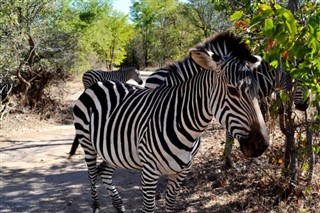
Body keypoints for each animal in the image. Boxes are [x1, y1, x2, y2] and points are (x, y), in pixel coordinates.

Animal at [70, 32, 270, 213]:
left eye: (256, 88)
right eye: (232, 90)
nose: (261, 145)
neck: (185, 123)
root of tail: (97, 85)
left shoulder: (181, 171)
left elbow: (170, 205)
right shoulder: (150, 172)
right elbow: (149, 208)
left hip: (115, 150)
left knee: (104, 172)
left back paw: (119, 206)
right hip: (88, 144)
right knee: (92, 175)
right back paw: (96, 207)